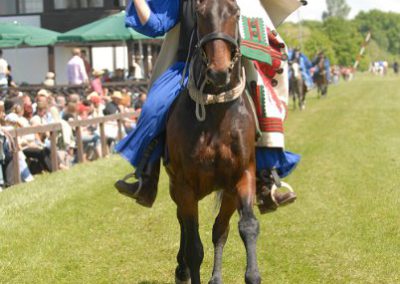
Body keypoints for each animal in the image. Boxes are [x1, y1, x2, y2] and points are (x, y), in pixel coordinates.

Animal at [165, 0, 260, 284]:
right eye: (199, 13)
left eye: (236, 12)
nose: (219, 71)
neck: (217, 113)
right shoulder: (185, 186)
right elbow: (194, 248)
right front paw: (186, 266)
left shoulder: (241, 176)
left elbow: (246, 226)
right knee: (184, 225)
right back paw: (181, 269)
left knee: (220, 229)